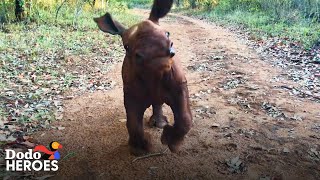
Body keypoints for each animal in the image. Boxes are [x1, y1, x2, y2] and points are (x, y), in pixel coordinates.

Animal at [94, 0, 191, 155]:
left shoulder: (179, 86)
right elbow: (133, 122)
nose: (155, 52)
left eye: (168, 33)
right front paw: (139, 150)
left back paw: (160, 124)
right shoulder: (131, 93)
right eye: (126, 47)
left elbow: (185, 118)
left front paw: (172, 144)